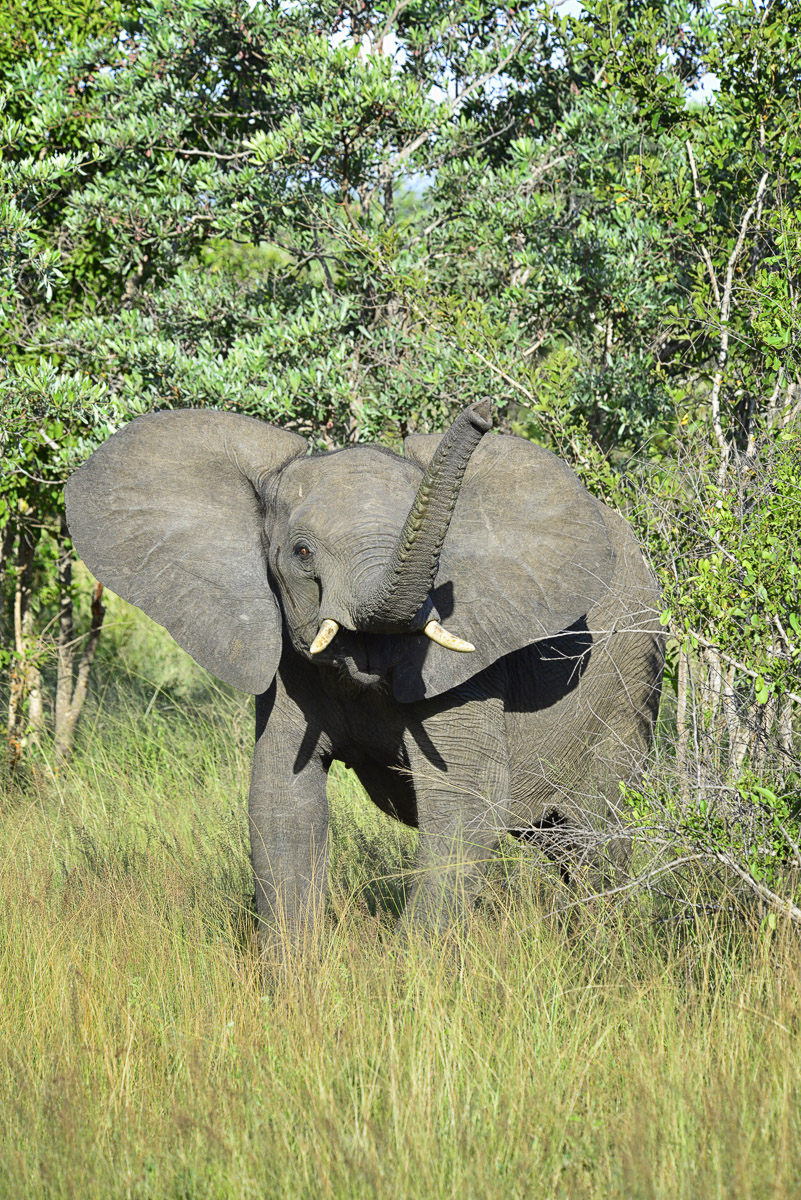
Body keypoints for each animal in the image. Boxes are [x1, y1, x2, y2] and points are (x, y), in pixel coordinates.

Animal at [65, 400, 664, 941]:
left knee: (598, 839)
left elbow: (465, 803)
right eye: (302, 552)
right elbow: (283, 806)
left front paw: (412, 977)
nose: (483, 411)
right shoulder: (287, 666)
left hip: (627, 685)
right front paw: (294, 980)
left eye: (441, 554)